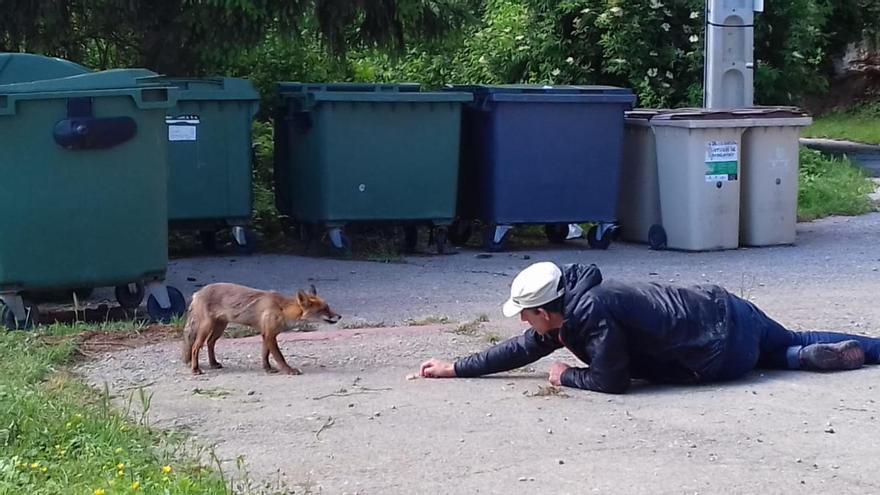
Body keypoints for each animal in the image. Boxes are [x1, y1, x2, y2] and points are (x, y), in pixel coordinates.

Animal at [181, 282, 340, 376]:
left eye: (328, 307)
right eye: (324, 309)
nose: (339, 316)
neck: (283, 310)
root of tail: (197, 293)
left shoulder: (266, 335)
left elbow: (265, 355)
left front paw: (267, 369)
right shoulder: (270, 335)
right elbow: (279, 356)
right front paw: (288, 370)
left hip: (220, 327)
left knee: (210, 343)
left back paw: (213, 363)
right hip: (206, 327)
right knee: (195, 347)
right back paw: (195, 369)